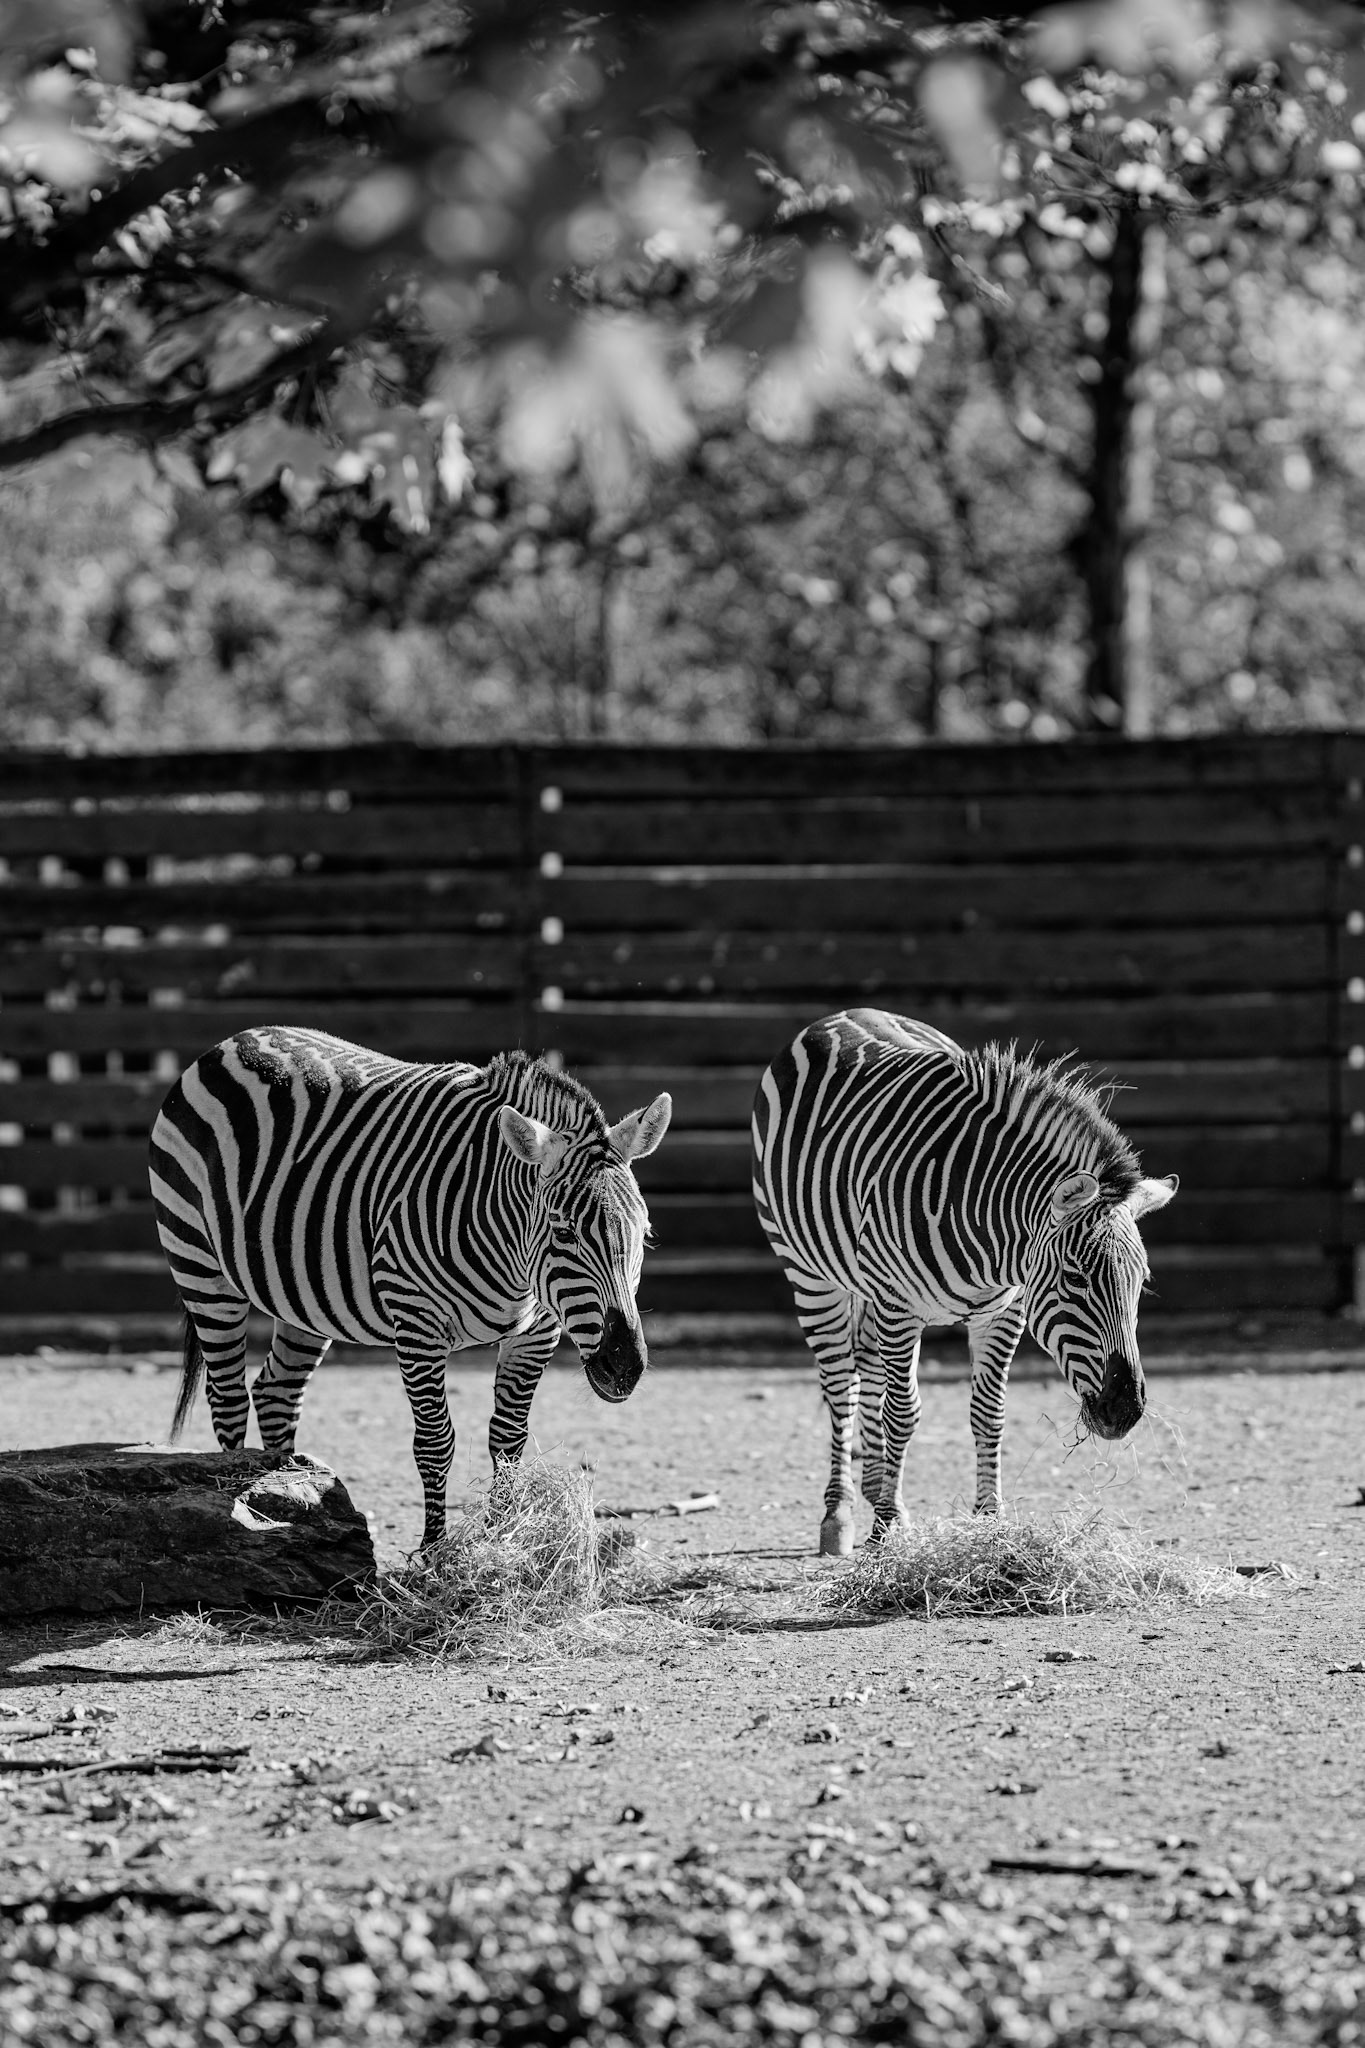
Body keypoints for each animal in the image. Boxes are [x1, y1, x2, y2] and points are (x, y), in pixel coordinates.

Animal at [149, 1027, 671, 1548]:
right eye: (563, 1233)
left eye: (645, 1234)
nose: (625, 1366)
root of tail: (238, 1038)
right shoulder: (418, 1321)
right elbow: (435, 1443)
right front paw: (434, 1551)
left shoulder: (537, 1331)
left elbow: (508, 1438)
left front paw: (501, 1540)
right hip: (198, 1262)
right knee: (228, 1397)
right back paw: (237, 1494)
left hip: (303, 1296)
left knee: (276, 1391)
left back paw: (283, 1488)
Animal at [751, 1008, 1177, 1555]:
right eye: (1075, 1278)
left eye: (1140, 1282)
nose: (1125, 1410)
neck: (993, 1233)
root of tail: (844, 1015)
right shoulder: (899, 1307)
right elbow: (902, 1413)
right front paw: (884, 1528)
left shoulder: (1005, 1312)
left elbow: (988, 1412)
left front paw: (990, 1522)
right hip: (808, 1272)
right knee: (840, 1383)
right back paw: (840, 1514)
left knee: (865, 1367)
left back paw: (877, 1488)